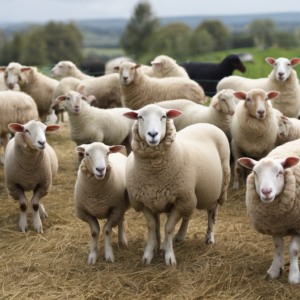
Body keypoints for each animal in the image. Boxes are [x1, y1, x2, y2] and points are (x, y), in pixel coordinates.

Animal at [123, 104, 231, 266]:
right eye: (140, 117)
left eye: (163, 116)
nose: (153, 134)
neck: (154, 176)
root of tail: (206, 123)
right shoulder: (144, 201)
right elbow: (152, 226)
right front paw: (149, 254)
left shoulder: (179, 199)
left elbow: (168, 227)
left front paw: (169, 257)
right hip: (190, 194)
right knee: (188, 214)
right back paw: (179, 237)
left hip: (218, 186)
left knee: (212, 212)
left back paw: (209, 238)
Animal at [239, 140, 300, 284]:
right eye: (255, 173)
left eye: (280, 172)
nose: (266, 191)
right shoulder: (274, 226)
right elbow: (278, 246)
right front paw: (275, 270)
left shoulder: (298, 225)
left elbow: (294, 250)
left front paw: (294, 277)